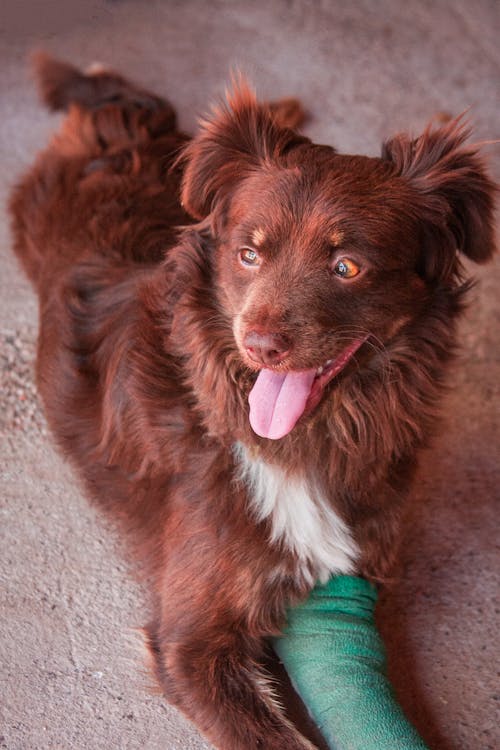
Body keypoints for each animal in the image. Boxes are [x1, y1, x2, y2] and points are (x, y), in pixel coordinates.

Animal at [8, 55, 496, 748]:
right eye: (248, 254)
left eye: (346, 266)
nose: (259, 345)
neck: (310, 437)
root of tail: (113, 119)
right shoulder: (191, 643)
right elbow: (276, 738)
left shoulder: (367, 563)